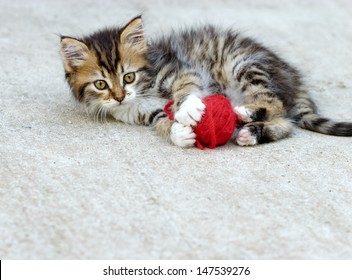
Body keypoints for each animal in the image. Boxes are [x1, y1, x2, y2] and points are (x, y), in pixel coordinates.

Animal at [60, 15, 352, 148]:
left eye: (128, 76)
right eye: (101, 84)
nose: (120, 96)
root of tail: (292, 75)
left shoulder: (180, 69)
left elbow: (185, 89)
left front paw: (189, 107)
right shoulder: (147, 113)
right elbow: (163, 123)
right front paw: (179, 133)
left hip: (243, 64)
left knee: (275, 104)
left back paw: (247, 114)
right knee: (285, 123)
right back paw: (251, 132)